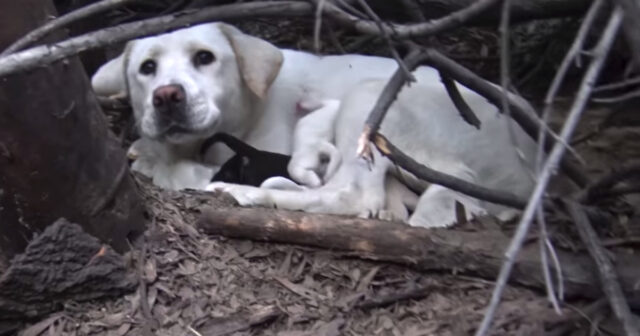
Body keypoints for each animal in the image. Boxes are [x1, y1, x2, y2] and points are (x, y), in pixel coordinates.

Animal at [92, 22, 536, 227]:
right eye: (147, 68)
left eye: (205, 57)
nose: (167, 96)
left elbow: (180, 170)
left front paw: (161, 165)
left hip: (372, 101)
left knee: (350, 196)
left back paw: (249, 193)